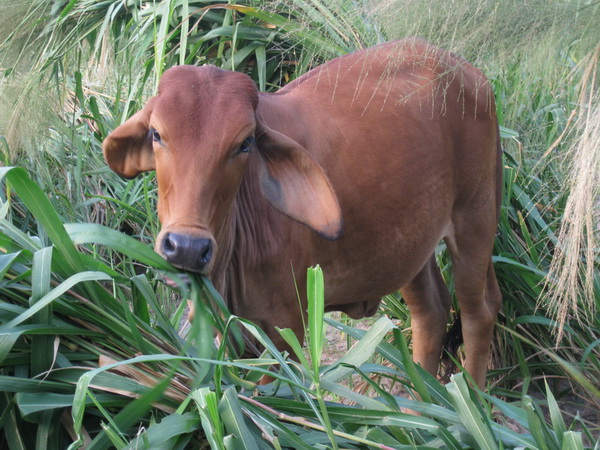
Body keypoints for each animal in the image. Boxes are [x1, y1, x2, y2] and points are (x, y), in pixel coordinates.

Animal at [103, 37, 502, 386]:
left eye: (244, 143)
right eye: (156, 134)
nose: (186, 247)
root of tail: (470, 72)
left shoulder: (286, 330)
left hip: (475, 216)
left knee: (478, 312)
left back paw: (472, 401)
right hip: (412, 243)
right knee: (430, 312)